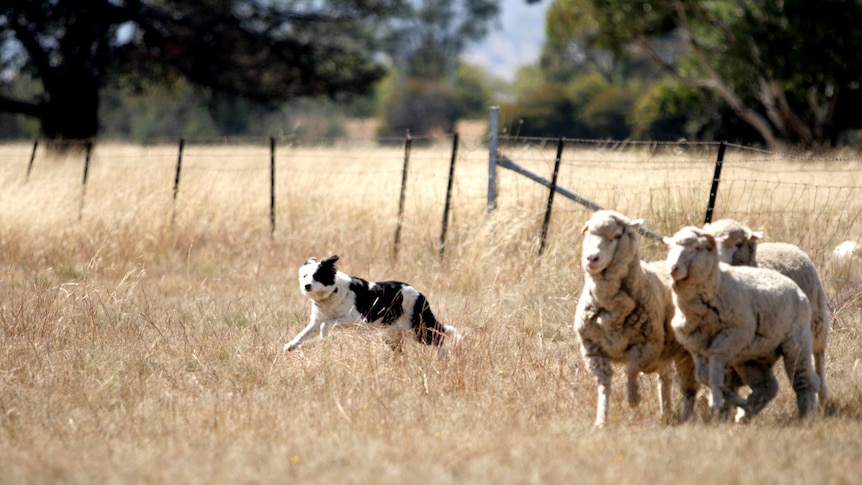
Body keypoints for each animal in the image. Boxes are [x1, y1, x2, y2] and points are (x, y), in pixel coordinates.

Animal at [284, 255, 460, 354]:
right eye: (305, 275)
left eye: (317, 276)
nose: (306, 286)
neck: (332, 292)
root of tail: (420, 295)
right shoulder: (317, 320)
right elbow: (303, 334)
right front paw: (290, 346)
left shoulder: (355, 319)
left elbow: (325, 325)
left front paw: (322, 338)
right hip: (392, 334)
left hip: (419, 329)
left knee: (438, 338)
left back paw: (443, 359)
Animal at [572, 210, 704, 426]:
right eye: (588, 232)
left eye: (616, 235)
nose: (591, 258)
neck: (611, 310)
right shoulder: (593, 351)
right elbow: (604, 386)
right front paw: (601, 420)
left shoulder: (646, 346)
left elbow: (631, 370)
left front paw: (633, 399)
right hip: (665, 350)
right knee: (666, 376)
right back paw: (666, 412)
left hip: (685, 352)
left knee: (688, 388)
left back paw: (685, 417)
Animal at [664, 227, 820, 420]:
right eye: (670, 248)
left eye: (697, 248)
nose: (673, 269)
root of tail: (794, 286)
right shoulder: (696, 346)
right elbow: (704, 377)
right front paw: (728, 398)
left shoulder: (731, 336)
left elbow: (714, 370)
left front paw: (718, 400)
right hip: (751, 357)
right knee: (767, 386)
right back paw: (748, 410)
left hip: (796, 342)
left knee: (802, 380)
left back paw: (805, 415)